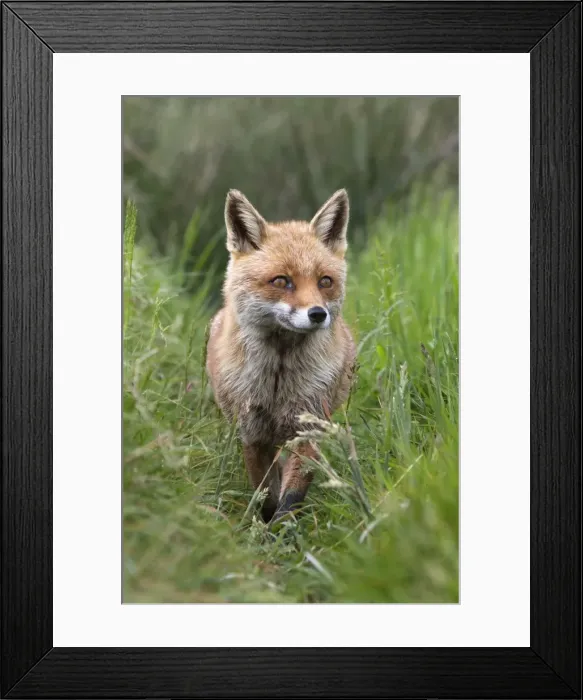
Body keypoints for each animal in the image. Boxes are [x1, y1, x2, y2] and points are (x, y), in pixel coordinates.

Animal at [206, 188, 356, 524]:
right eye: (281, 281)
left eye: (325, 281)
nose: (318, 314)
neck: (277, 380)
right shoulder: (252, 433)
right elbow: (266, 494)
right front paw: (264, 528)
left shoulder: (309, 428)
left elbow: (291, 496)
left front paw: (285, 531)